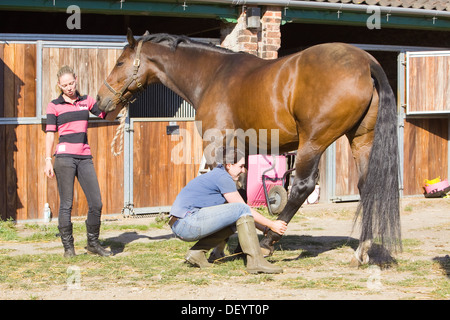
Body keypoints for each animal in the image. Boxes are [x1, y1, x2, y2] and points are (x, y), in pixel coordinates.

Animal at [97, 29, 400, 264]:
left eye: (120, 62)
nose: (100, 101)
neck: (213, 75)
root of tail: (365, 62)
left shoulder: (216, 146)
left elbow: (226, 193)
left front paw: (218, 248)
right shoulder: (242, 151)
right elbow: (240, 192)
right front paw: (237, 244)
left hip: (313, 142)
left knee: (301, 187)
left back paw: (268, 243)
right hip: (361, 140)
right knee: (367, 186)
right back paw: (362, 251)